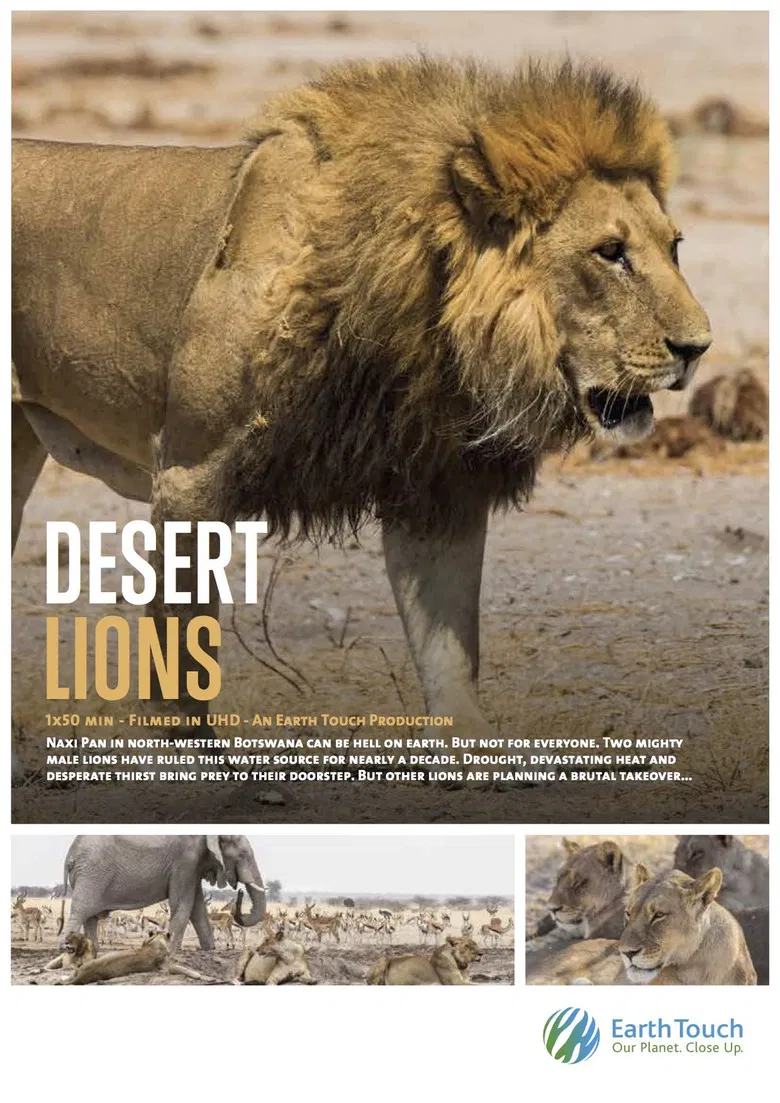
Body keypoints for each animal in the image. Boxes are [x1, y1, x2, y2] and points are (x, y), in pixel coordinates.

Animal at [12, 59, 711, 752]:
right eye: (610, 252)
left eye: (674, 246)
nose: (698, 348)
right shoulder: (190, 474)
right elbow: (179, 649)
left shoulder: (436, 488)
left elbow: (448, 653)